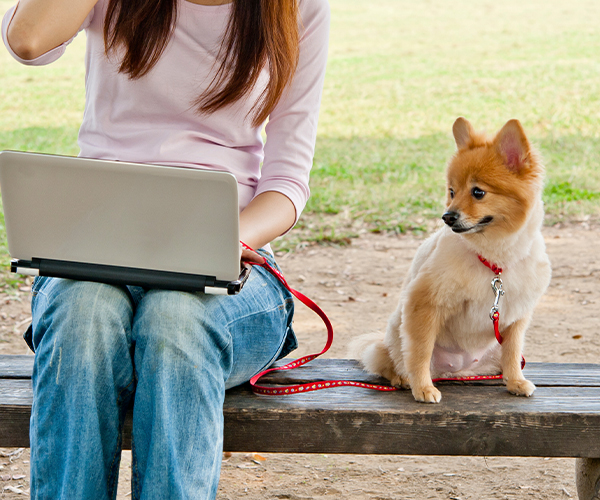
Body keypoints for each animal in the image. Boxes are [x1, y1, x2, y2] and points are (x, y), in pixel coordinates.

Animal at [354, 117, 552, 402]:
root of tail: (457, 370)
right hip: (395, 333)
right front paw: (423, 387)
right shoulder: (425, 303)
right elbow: (420, 352)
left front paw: (515, 381)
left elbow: (513, 352)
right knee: (391, 359)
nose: (447, 216)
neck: (494, 261)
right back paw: (403, 378)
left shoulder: (515, 315)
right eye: (451, 191)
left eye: (478, 192)